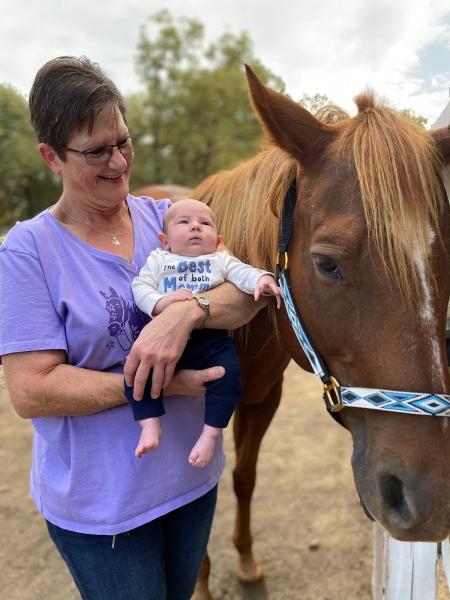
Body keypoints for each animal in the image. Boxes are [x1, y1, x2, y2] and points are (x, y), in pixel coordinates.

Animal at [135, 65, 450, 596]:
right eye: (326, 263)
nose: (432, 500)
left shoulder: (263, 401)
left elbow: (243, 477)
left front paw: (246, 564)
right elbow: (194, 494)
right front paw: (199, 581)